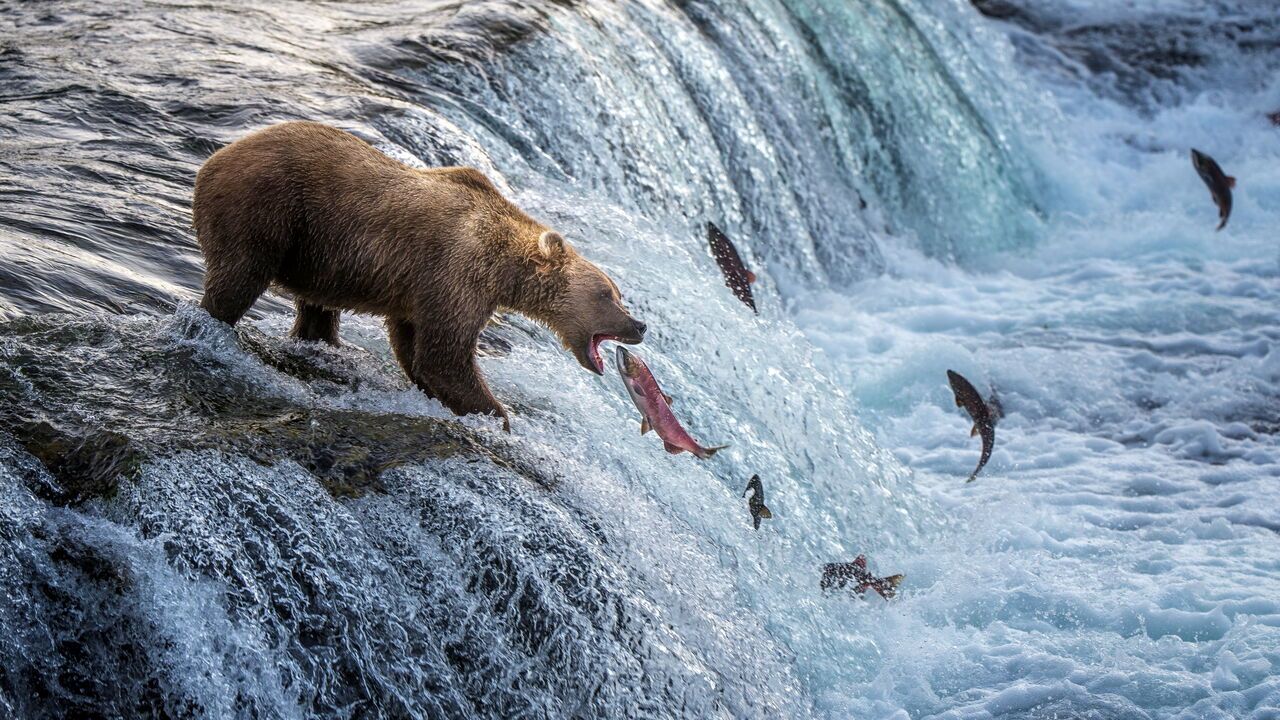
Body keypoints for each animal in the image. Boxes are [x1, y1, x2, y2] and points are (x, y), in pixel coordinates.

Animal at [192, 121, 646, 431]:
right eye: (607, 294)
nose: (639, 324)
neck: (505, 270)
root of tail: (213, 159)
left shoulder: (424, 289)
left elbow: (415, 346)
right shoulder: (456, 272)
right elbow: (445, 355)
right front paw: (498, 416)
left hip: (314, 252)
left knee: (315, 308)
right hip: (266, 208)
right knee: (239, 278)